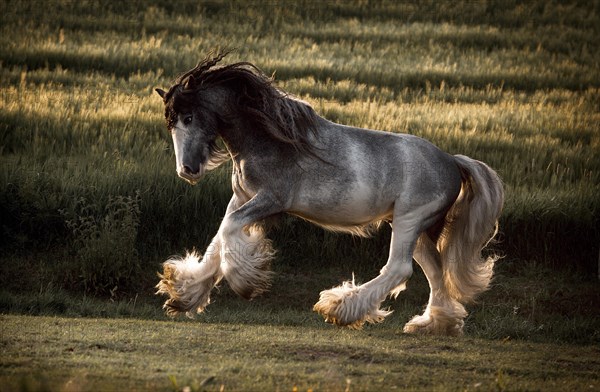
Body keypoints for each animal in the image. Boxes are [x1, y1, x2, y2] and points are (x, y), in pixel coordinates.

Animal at [154, 50, 502, 336]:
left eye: (189, 117)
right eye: (171, 124)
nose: (187, 170)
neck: (269, 139)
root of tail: (452, 161)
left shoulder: (270, 200)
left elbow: (228, 231)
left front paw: (245, 282)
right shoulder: (241, 198)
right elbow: (218, 241)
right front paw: (182, 295)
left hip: (409, 220)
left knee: (399, 268)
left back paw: (340, 308)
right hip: (416, 229)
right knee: (436, 271)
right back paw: (432, 324)